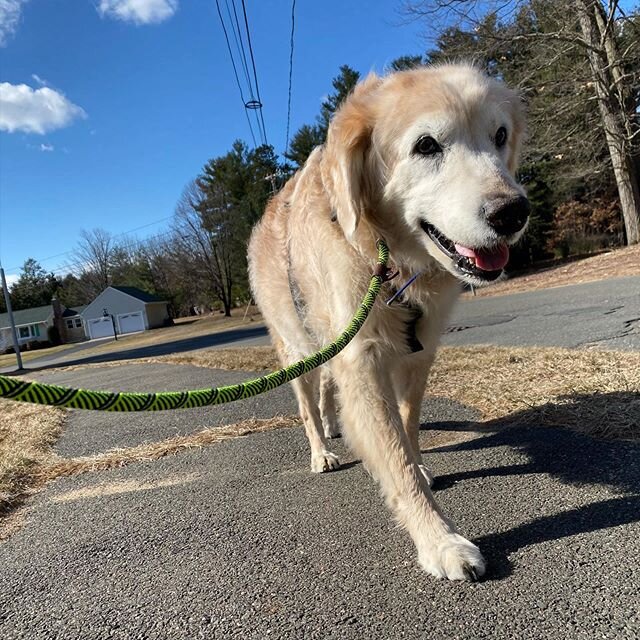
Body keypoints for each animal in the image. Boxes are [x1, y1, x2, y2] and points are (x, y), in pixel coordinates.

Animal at [248, 63, 528, 580]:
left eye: (499, 135)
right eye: (426, 145)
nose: (514, 212)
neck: (393, 259)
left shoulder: (420, 353)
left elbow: (408, 424)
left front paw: (419, 464)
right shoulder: (362, 362)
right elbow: (394, 458)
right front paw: (440, 541)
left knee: (326, 389)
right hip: (295, 348)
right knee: (308, 404)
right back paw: (321, 451)